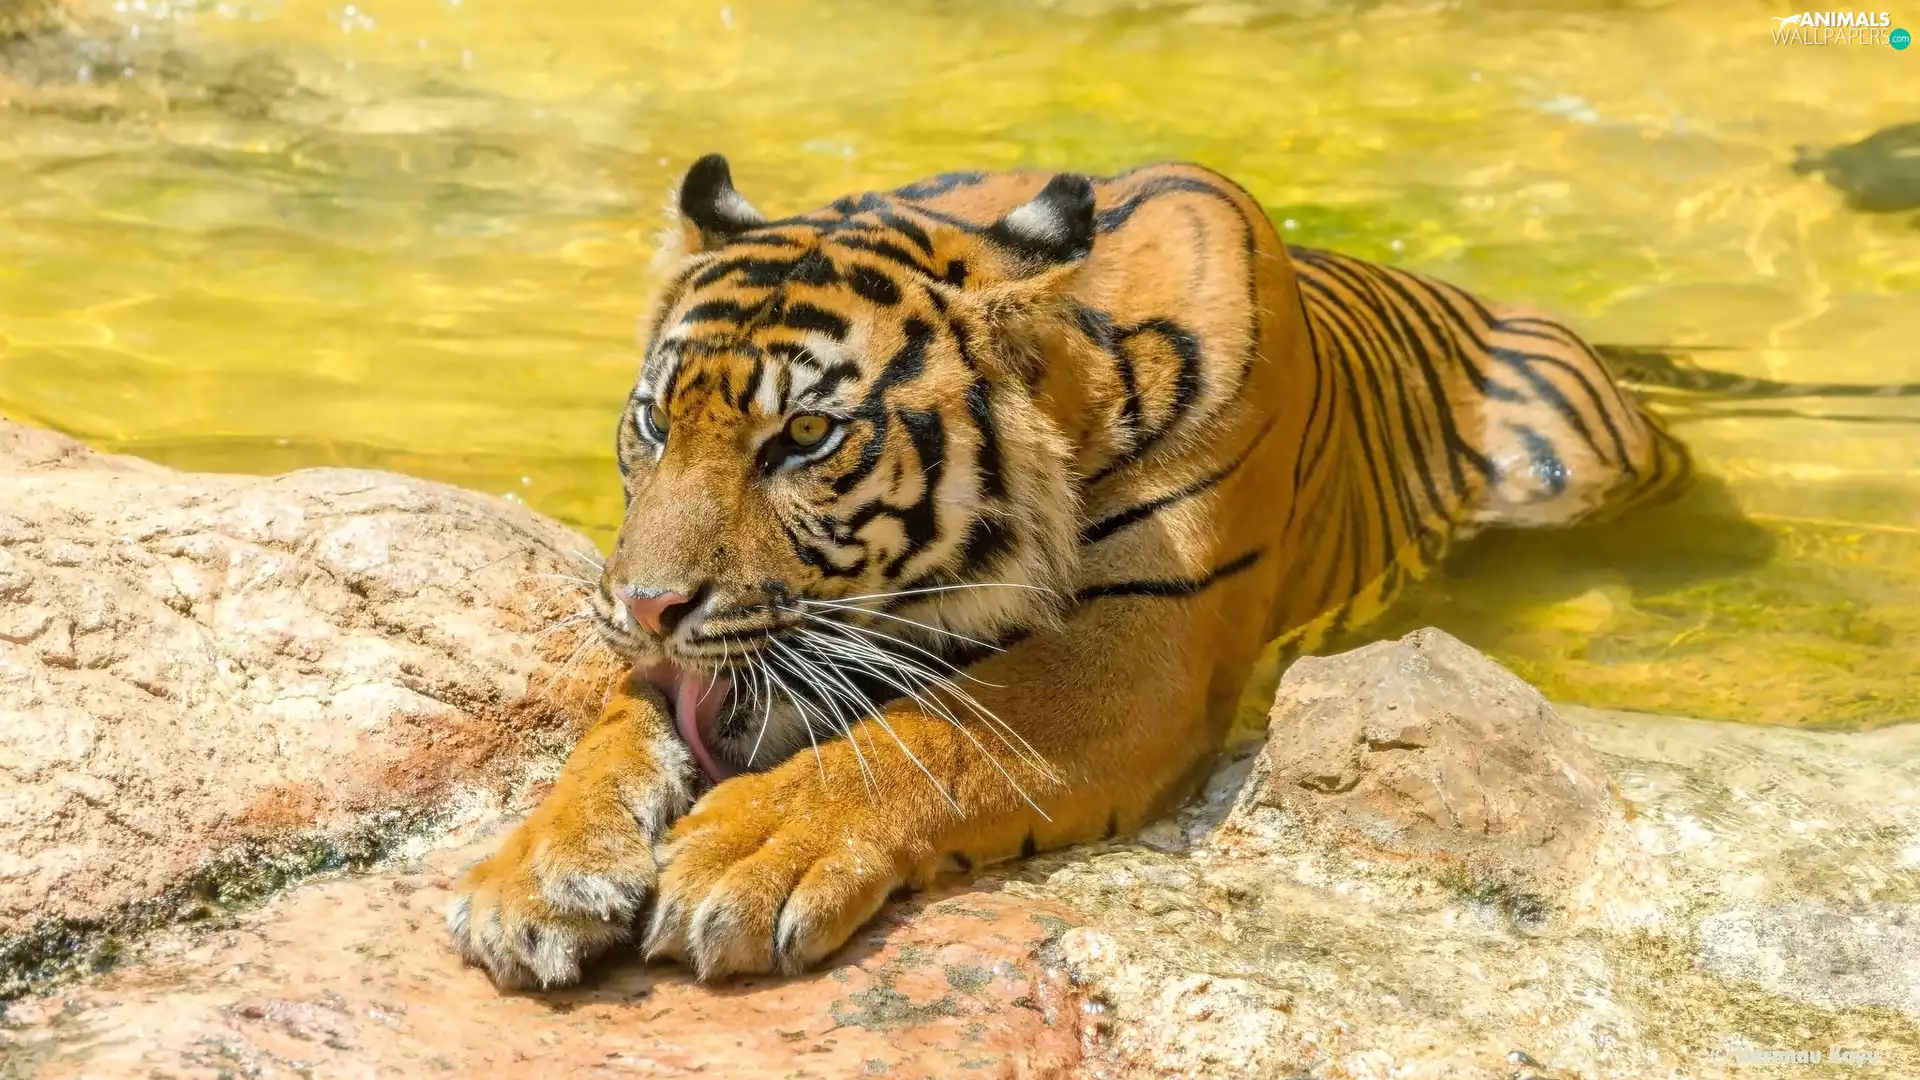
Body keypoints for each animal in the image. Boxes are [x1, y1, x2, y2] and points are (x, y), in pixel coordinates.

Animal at [444, 154, 1691, 988]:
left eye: (803, 437)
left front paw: (741, 856)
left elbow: (934, 737)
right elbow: (618, 730)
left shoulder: (1140, 648)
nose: (647, 605)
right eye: (656, 423)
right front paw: (535, 872)